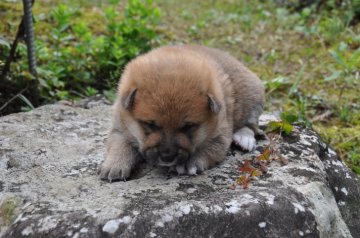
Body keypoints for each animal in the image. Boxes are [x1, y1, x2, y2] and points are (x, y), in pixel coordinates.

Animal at [98, 45, 264, 182]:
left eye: (188, 127)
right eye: (150, 125)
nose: (167, 157)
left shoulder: (220, 137)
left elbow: (207, 150)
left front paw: (188, 163)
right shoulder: (119, 128)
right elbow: (120, 145)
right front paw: (115, 165)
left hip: (253, 97)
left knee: (251, 125)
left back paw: (244, 138)